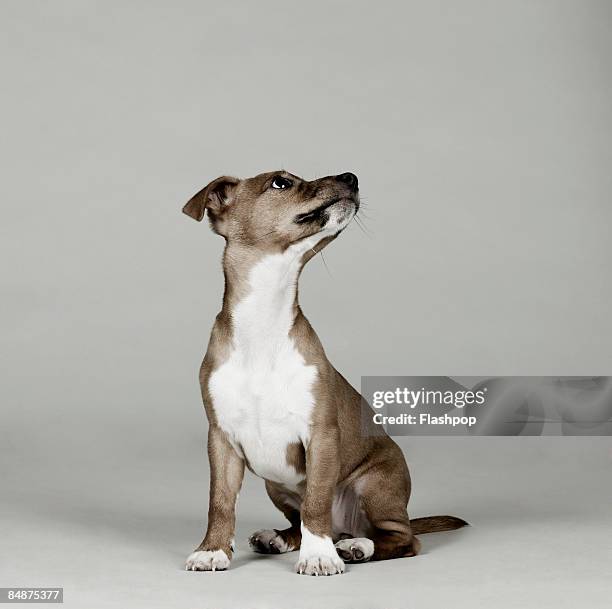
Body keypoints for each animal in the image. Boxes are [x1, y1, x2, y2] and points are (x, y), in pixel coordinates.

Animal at [183, 171, 468, 576]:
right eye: (281, 183)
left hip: (375, 484)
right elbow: (220, 502)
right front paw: (213, 551)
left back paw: (356, 546)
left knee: (401, 538)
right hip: (276, 484)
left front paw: (318, 556)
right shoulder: (221, 439)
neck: (263, 320)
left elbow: (316, 501)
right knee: (300, 521)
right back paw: (280, 537)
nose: (351, 177)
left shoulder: (321, 435)